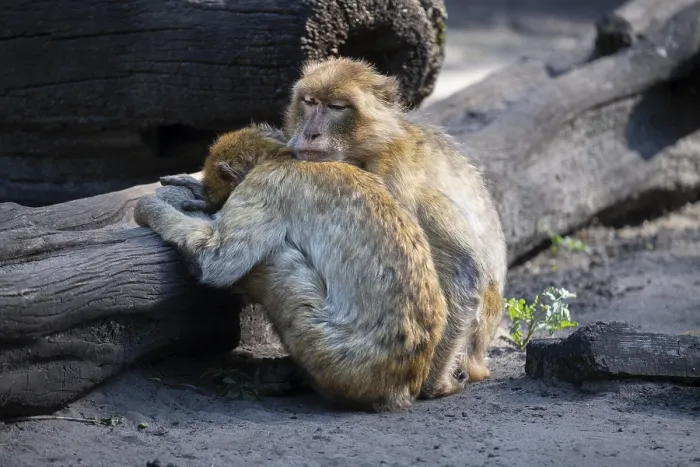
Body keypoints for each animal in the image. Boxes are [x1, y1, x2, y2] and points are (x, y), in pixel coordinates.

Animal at [134, 124, 450, 411]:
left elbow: (219, 261)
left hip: (337, 358)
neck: (282, 156)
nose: (214, 203)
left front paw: (150, 208)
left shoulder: (266, 184)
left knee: (280, 259)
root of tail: (404, 385)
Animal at [281, 57, 508, 397]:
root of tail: (480, 358)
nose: (310, 133)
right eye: (309, 102)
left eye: (336, 107)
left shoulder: (395, 178)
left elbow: (462, 273)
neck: (366, 150)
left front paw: (431, 384)